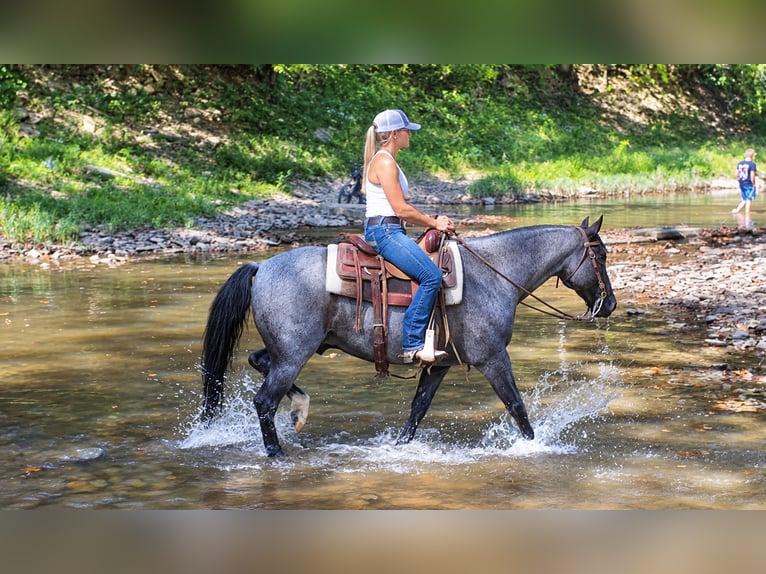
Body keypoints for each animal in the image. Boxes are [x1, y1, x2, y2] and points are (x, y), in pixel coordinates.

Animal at [200, 216, 616, 457]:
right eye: (602, 256)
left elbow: (418, 410)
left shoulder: (440, 365)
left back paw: (300, 410)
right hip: (293, 354)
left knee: (258, 362)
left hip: (295, 349)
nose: (610, 304)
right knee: (264, 401)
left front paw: (398, 447)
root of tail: (262, 266)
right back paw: (277, 452)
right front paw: (535, 446)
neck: (494, 274)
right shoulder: (493, 358)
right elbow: (516, 406)